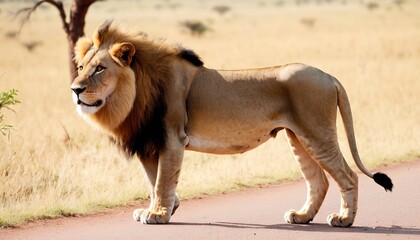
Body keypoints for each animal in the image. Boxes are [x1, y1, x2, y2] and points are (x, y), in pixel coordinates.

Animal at [70, 20, 392, 227]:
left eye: (100, 69)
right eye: (81, 67)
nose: (74, 89)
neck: (137, 90)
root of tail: (329, 75)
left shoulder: (172, 138)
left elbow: (162, 181)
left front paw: (159, 214)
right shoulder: (151, 141)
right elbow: (153, 181)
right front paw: (163, 208)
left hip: (317, 132)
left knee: (348, 176)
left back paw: (344, 219)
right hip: (298, 136)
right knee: (319, 181)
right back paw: (302, 217)